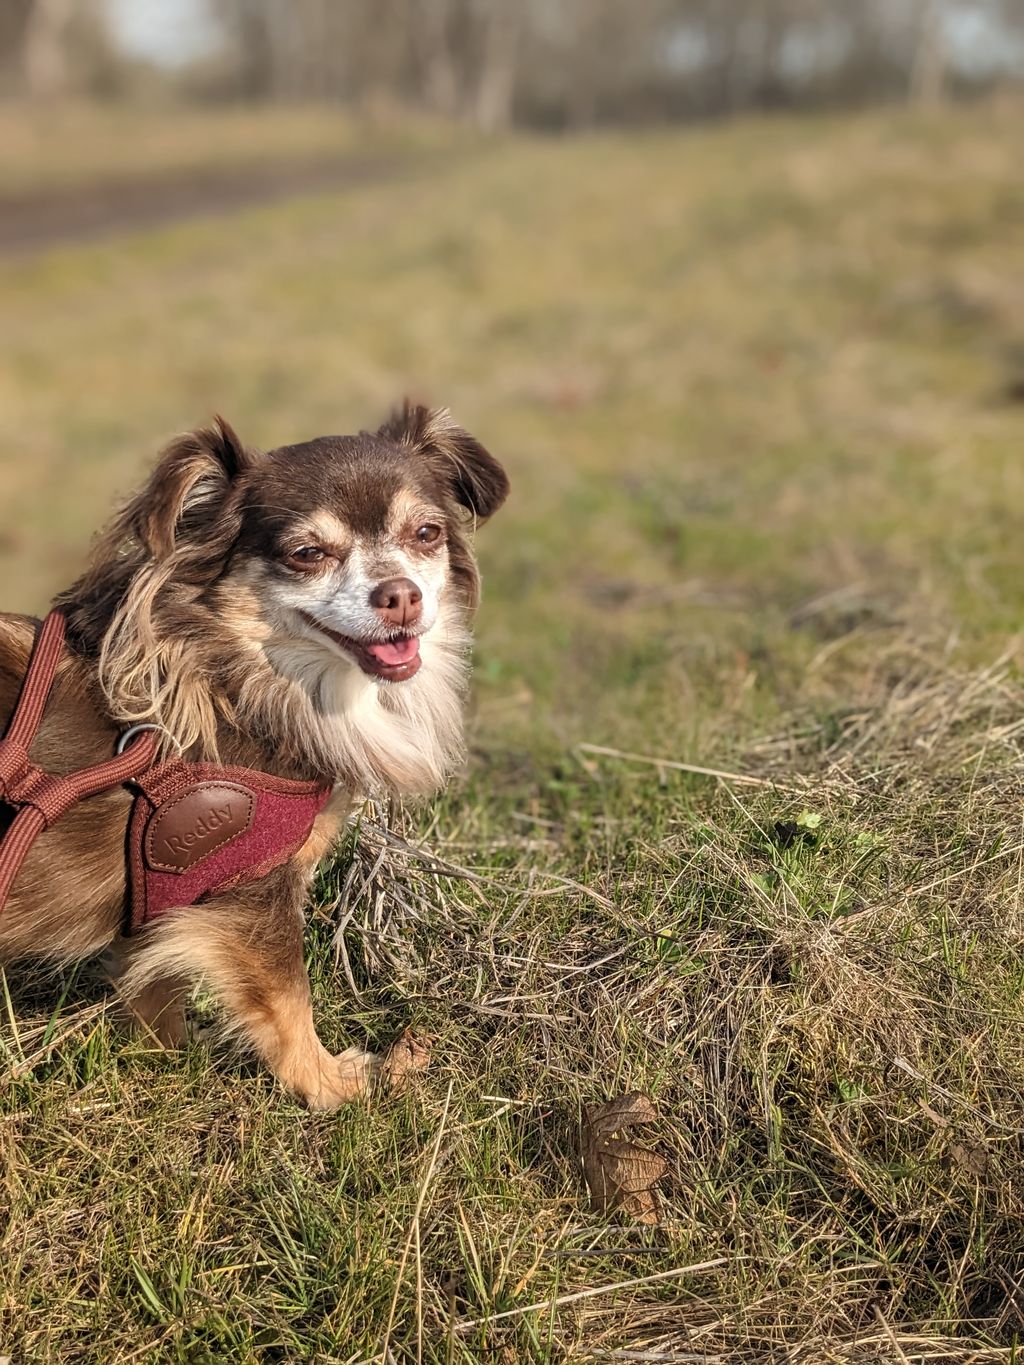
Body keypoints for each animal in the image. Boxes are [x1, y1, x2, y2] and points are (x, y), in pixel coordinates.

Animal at [0, 398, 510, 1102]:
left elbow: (153, 982)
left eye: (427, 533)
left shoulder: (172, 901)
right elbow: (288, 999)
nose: (402, 595)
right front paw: (331, 1085)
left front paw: (171, 1055)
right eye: (306, 554)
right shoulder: (252, 894)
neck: (243, 683)